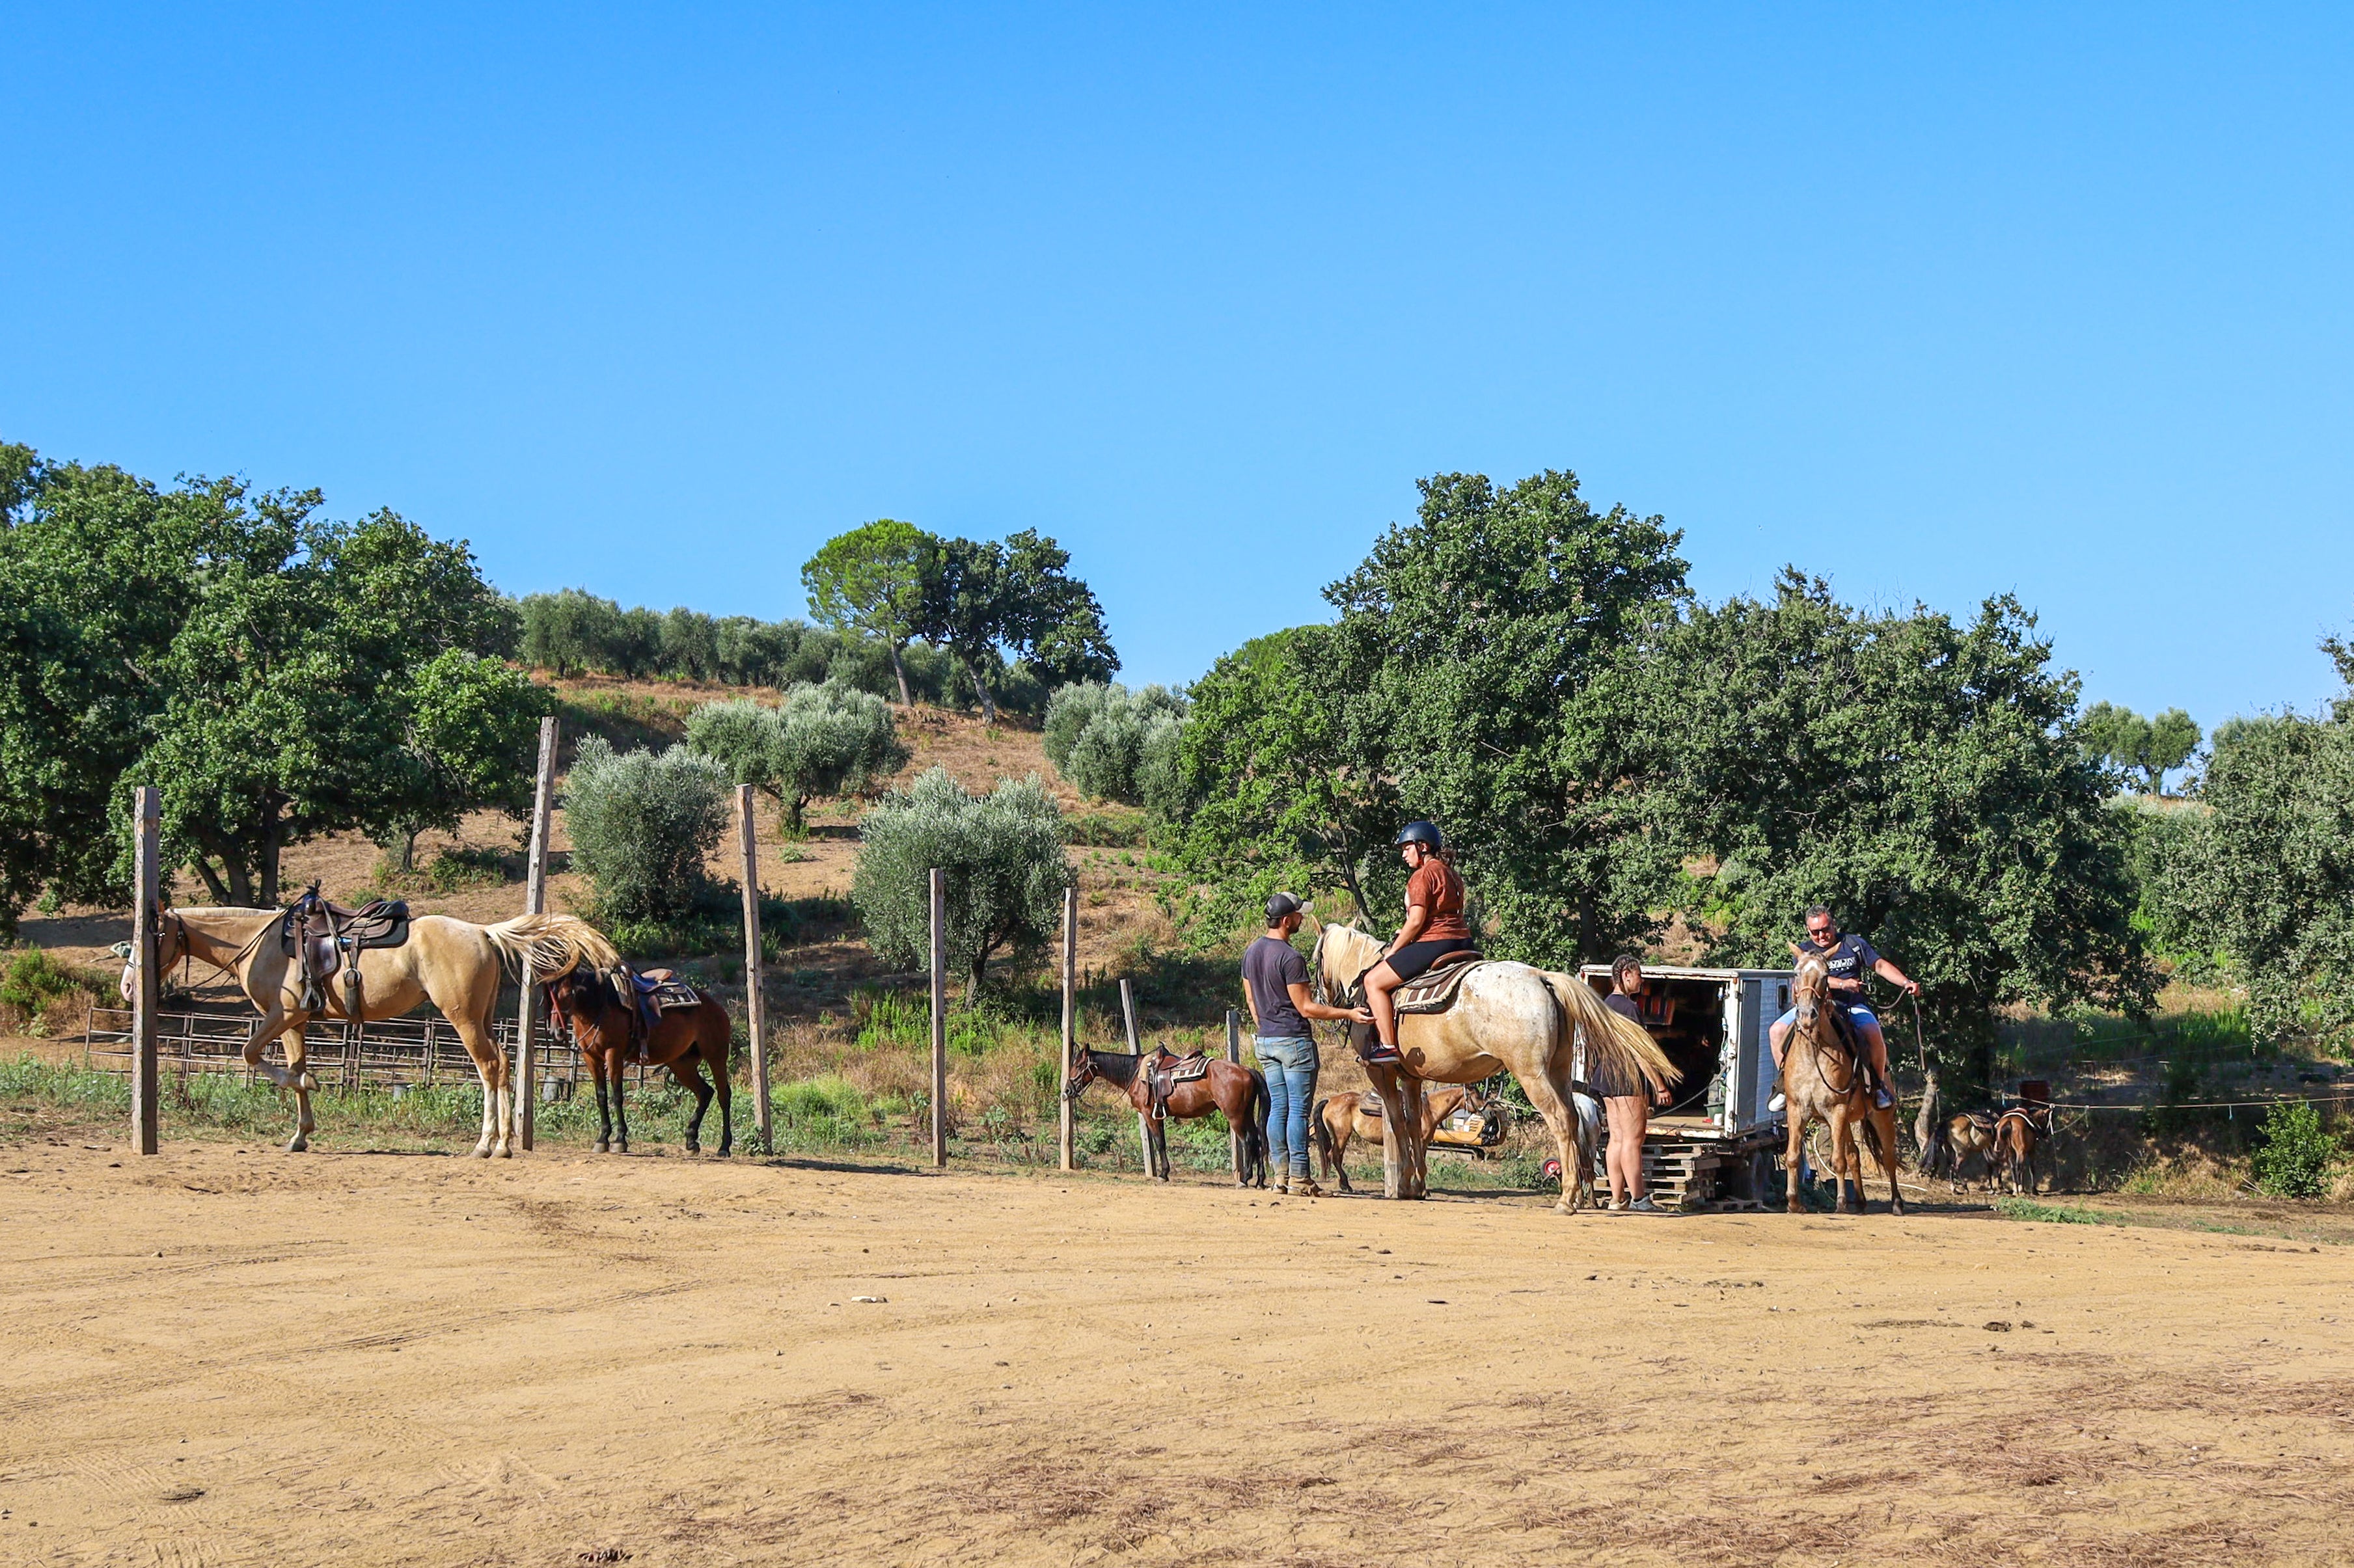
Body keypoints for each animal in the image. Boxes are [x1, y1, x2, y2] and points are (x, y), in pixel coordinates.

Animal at [546, 960, 730, 1154]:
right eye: (550, 996)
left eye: (568, 994)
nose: (556, 1032)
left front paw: (620, 1140)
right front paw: (602, 1139)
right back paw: (691, 1140)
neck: (599, 1005)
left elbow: (617, 1095)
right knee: (705, 1093)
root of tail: (717, 1008)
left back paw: (724, 1147)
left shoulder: (614, 1054)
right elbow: (601, 1096)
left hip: (716, 1056)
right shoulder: (591, 1058)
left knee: (723, 1095)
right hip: (681, 1064)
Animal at [1069, 1045, 1271, 1177]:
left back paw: (1246, 1178)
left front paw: (1163, 1174)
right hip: (1246, 1115)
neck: (1137, 1075)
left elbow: (1159, 1142)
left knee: (1248, 1141)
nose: (1068, 1090)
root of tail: (1247, 1070)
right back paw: (1260, 1179)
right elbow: (1163, 1142)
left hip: (1235, 1116)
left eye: (1078, 1066)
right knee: (1258, 1140)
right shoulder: (1159, 1115)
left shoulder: (1149, 1114)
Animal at [1309, 1083, 1469, 1191]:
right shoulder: (1418, 1141)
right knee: (1335, 1156)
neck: (1426, 1110)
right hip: (1342, 1135)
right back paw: (1346, 1185)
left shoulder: (1423, 1143)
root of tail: (1330, 1100)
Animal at [1788, 946, 1902, 1215]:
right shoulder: (1796, 1109)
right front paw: (1794, 1202)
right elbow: (1793, 1156)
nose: (1807, 1016)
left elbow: (1838, 1161)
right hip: (1847, 1120)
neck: (1814, 1052)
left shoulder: (1836, 1110)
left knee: (1888, 1157)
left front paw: (1840, 1203)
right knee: (1854, 1154)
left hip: (1879, 1117)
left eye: (1825, 975)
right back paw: (1860, 1202)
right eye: (1796, 973)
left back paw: (1896, 1203)